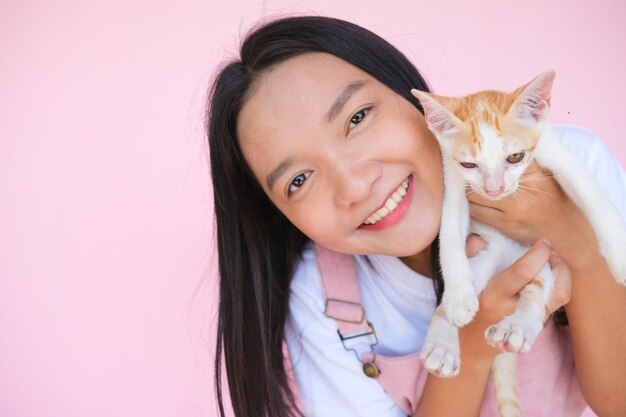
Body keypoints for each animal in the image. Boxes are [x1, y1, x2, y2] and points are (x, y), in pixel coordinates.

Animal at [410, 72, 624, 416]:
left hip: (541, 258)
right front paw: (457, 296)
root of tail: (507, 259)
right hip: (484, 260)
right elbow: (449, 235)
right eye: (469, 165)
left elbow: (590, 191)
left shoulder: (557, 152)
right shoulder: (453, 182)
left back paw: (519, 326)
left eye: (515, 157)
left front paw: (619, 253)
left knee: (539, 289)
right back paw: (443, 343)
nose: (494, 189)